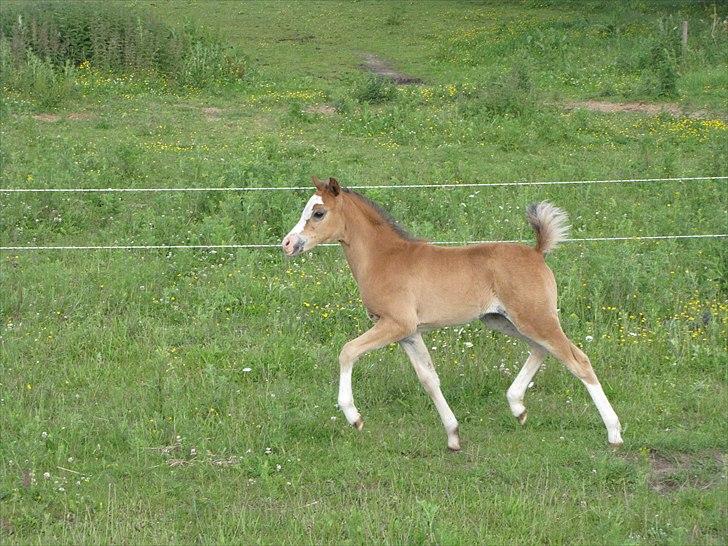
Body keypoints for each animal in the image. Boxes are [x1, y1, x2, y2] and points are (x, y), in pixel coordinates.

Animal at [281, 176, 623, 451]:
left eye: (318, 213)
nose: (287, 244)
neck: (384, 257)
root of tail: (536, 252)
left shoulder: (396, 324)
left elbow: (347, 351)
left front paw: (354, 417)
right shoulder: (409, 333)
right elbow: (429, 379)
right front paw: (453, 435)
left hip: (535, 318)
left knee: (578, 360)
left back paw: (614, 433)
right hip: (503, 320)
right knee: (541, 349)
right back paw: (518, 407)